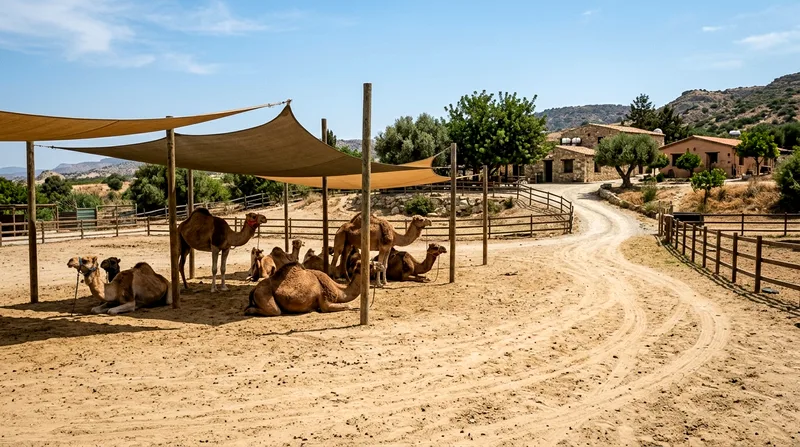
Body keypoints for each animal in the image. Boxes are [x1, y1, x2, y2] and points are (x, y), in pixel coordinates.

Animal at [244, 260, 385, 317]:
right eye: (370, 264)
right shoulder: (326, 302)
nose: (382, 265)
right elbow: (348, 306)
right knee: (274, 310)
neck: (339, 289)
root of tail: (254, 290)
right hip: (264, 294)